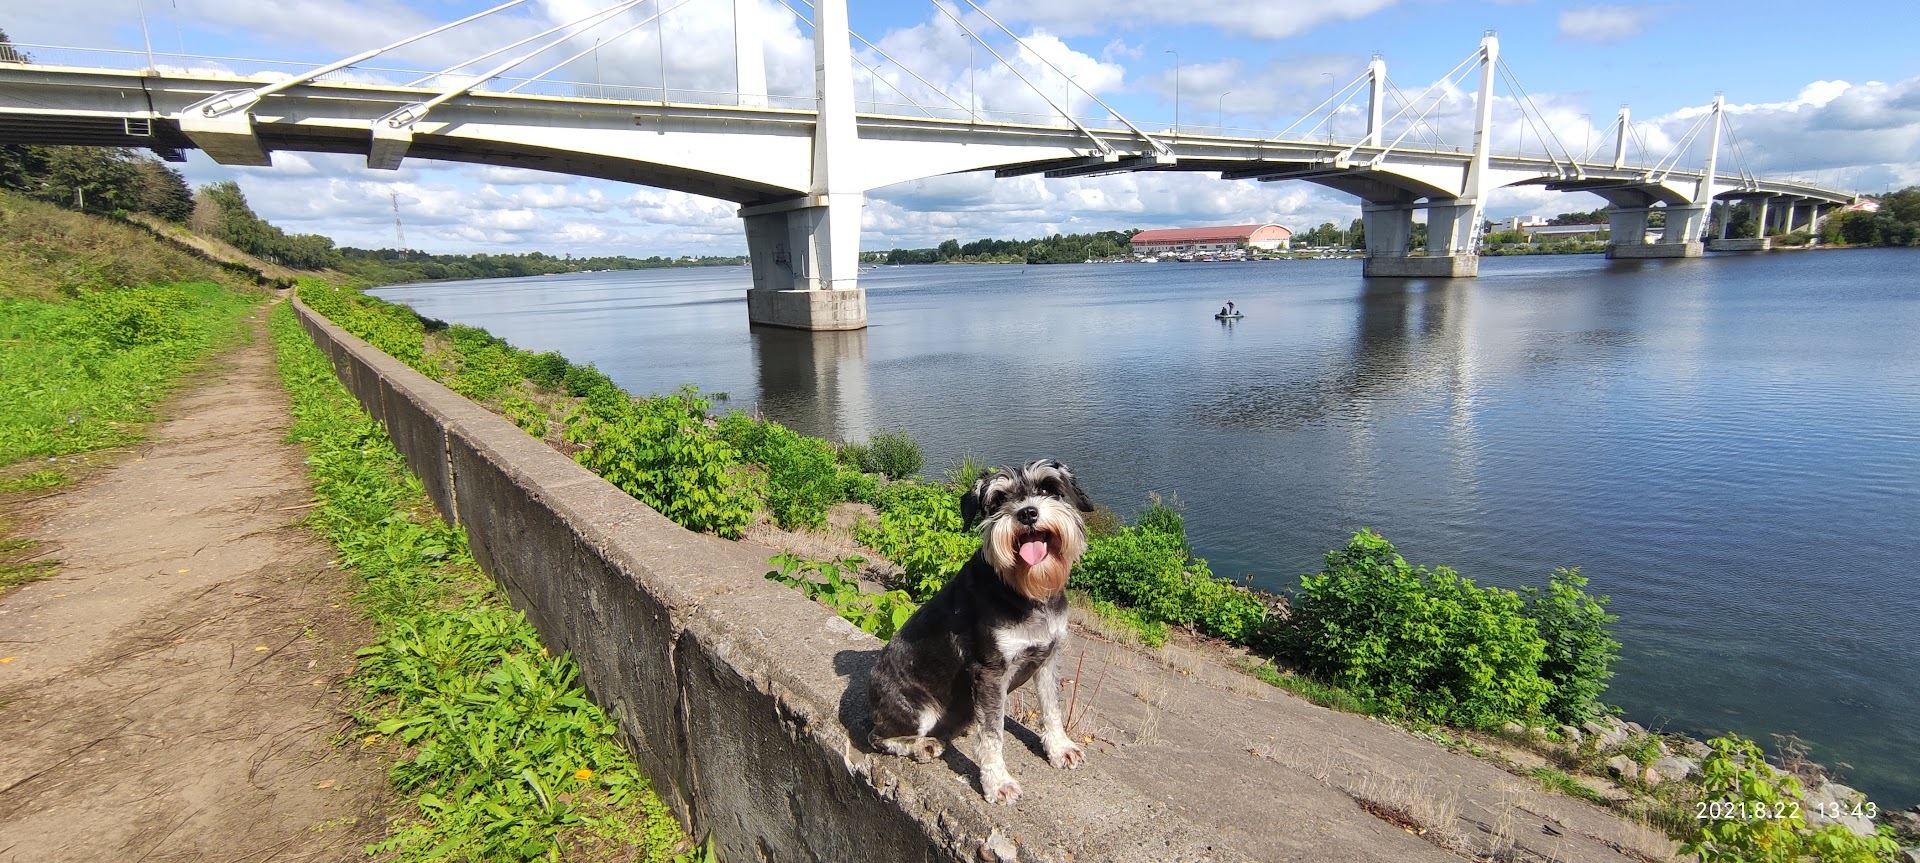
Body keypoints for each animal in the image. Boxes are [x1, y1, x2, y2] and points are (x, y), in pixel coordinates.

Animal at [871, 461, 1098, 803]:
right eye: (998, 499)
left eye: (1047, 487)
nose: (1027, 513)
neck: (1025, 591)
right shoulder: (990, 672)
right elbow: (992, 733)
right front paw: (997, 781)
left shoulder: (1048, 657)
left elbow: (1051, 708)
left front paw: (1060, 749)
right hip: (915, 710)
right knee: (877, 736)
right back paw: (922, 746)